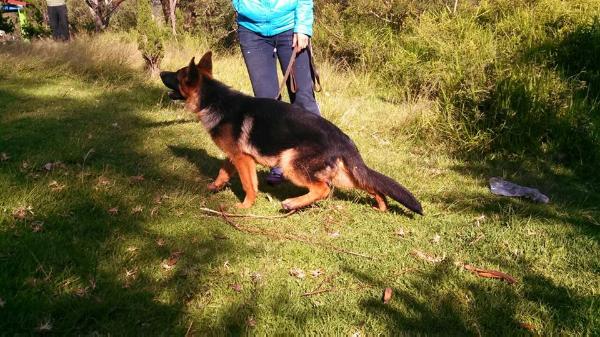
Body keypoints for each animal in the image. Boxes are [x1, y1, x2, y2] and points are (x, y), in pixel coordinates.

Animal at [159, 51, 422, 215]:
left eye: (177, 75)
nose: (160, 72)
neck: (213, 98)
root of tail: (344, 140)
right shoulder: (237, 156)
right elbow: (224, 170)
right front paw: (215, 186)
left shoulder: (243, 159)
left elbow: (248, 185)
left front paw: (245, 206)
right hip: (344, 175)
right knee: (370, 184)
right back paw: (381, 206)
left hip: (291, 165)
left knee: (323, 189)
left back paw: (292, 203)